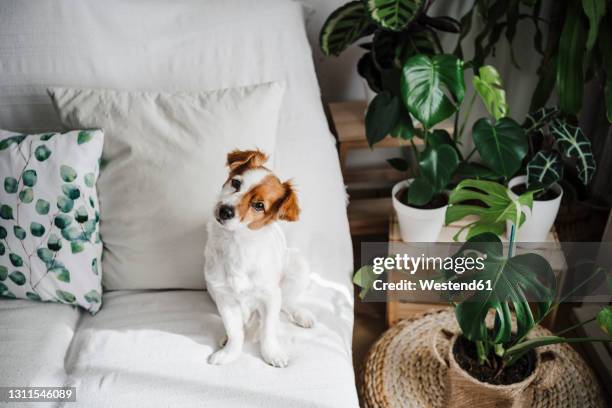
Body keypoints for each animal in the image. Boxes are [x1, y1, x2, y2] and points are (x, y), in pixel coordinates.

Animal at [204, 150, 314, 366]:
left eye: (258, 205)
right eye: (236, 183)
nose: (225, 210)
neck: (236, 243)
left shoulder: (270, 296)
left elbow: (268, 330)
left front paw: (272, 353)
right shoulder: (224, 297)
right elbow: (234, 330)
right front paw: (229, 353)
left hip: (298, 267)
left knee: (287, 301)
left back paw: (301, 314)